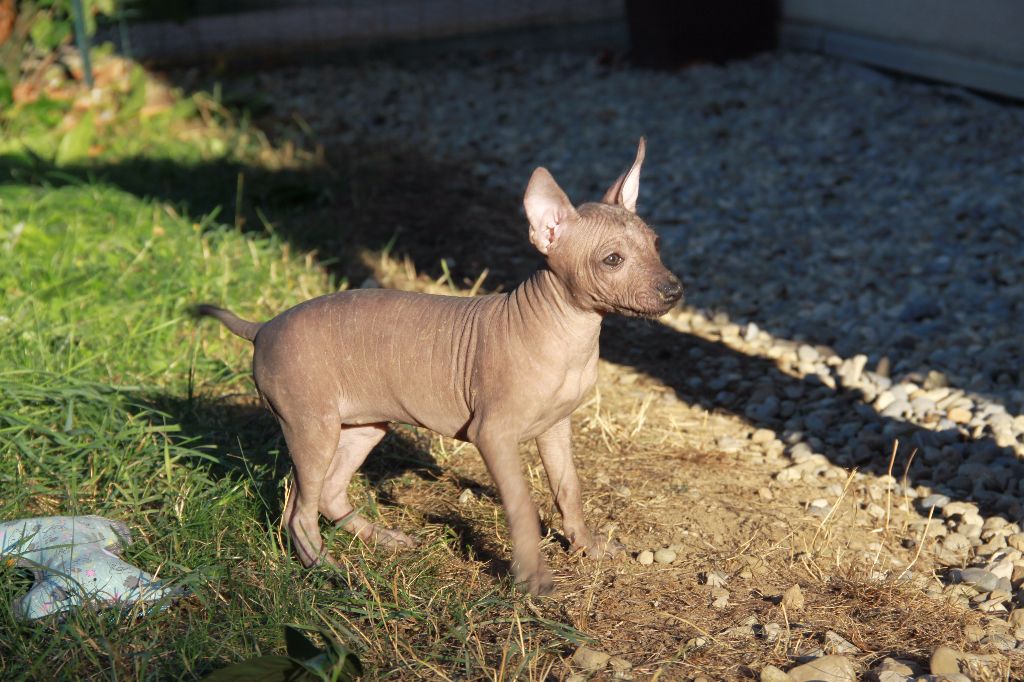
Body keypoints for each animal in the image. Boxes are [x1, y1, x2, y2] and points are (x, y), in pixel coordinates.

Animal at [197, 137, 679, 589]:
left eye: (657, 244)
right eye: (612, 259)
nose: (674, 290)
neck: (567, 332)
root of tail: (264, 327)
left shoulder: (556, 428)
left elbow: (569, 489)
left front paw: (587, 545)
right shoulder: (493, 436)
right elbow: (521, 505)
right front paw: (531, 576)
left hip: (361, 426)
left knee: (327, 495)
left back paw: (380, 539)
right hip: (311, 427)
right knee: (299, 509)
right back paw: (327, 570)